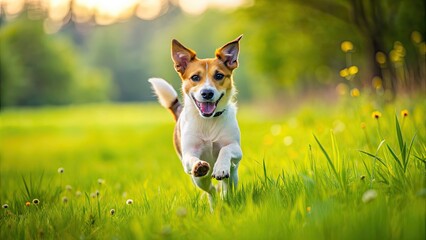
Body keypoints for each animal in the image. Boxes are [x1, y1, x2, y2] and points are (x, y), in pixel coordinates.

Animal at [148, 35, 243, 204]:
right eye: (195, 77)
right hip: (198, 180)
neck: (208, 121)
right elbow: (192, 159)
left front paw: (220, 167)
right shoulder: (188, 155)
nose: (207, 93)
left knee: (227, 185)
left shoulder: (236, 149)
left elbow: (225, 149)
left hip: (234, 174)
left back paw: (225, 195)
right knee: (211, 190)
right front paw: (199, 165)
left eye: (219, 75)